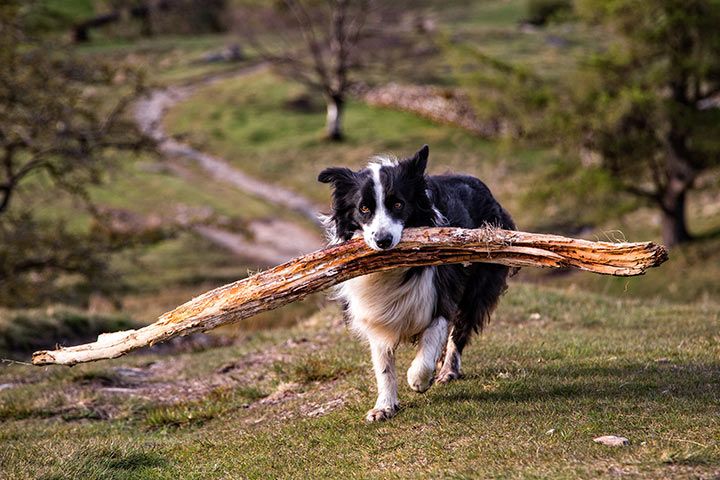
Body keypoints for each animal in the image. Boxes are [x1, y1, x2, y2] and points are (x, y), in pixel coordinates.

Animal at [318, 144, 516, 422]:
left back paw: (447, 370)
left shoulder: (439, 294)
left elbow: (432, 338)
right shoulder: (374, 313)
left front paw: (418, 379)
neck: (391, 270)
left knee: (460, 328)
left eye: (398, 204)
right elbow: (383, 364)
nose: (382, 241)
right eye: (364, 209)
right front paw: (384, 406)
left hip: (479, 281)